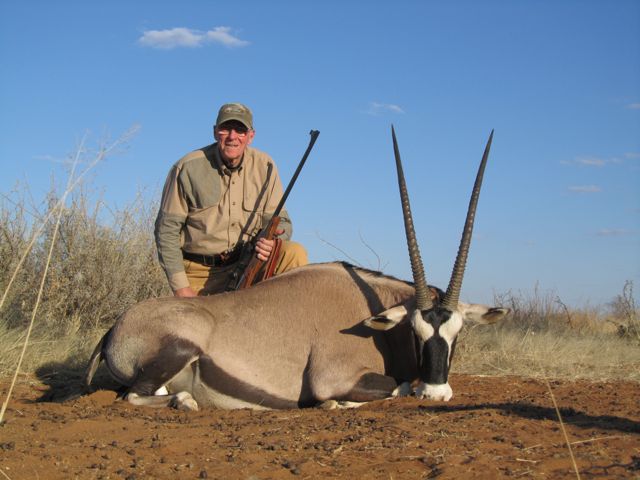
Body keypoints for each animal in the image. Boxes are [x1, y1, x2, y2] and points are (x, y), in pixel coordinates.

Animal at [85, 126, 508, 408]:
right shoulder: (333, 377)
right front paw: (338, 403)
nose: (436, 393)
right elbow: (394, 386)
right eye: (417, 334)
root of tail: (112, 331)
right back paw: (186, 401)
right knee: (132, 398)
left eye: (456, 333)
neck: (371, 313)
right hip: (177, 349)